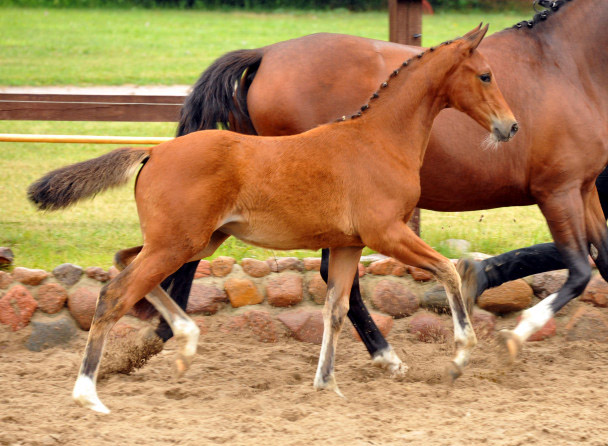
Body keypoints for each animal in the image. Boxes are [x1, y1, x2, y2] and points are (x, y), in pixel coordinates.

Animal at [28, 26, 516, 412]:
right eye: (485, 75)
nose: (510, 127)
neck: (378, 139)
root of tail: (153, 152)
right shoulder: (387, 233)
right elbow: (447, 269)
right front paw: (460, 354)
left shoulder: (349, 243)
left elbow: (335, 308)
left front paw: (326, 384)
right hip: (178, 242)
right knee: (114, 293)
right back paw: (88, 394)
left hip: (193, 240)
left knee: (124, 260)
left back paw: (186, 336)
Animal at [160, 0, 608, 368]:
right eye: (485, 76)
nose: (511, 127)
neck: (568, 65)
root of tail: (265, 54)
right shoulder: (558, 191)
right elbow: (579, 269)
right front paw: (514, 333)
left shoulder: (585, 189)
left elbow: (599, 257)